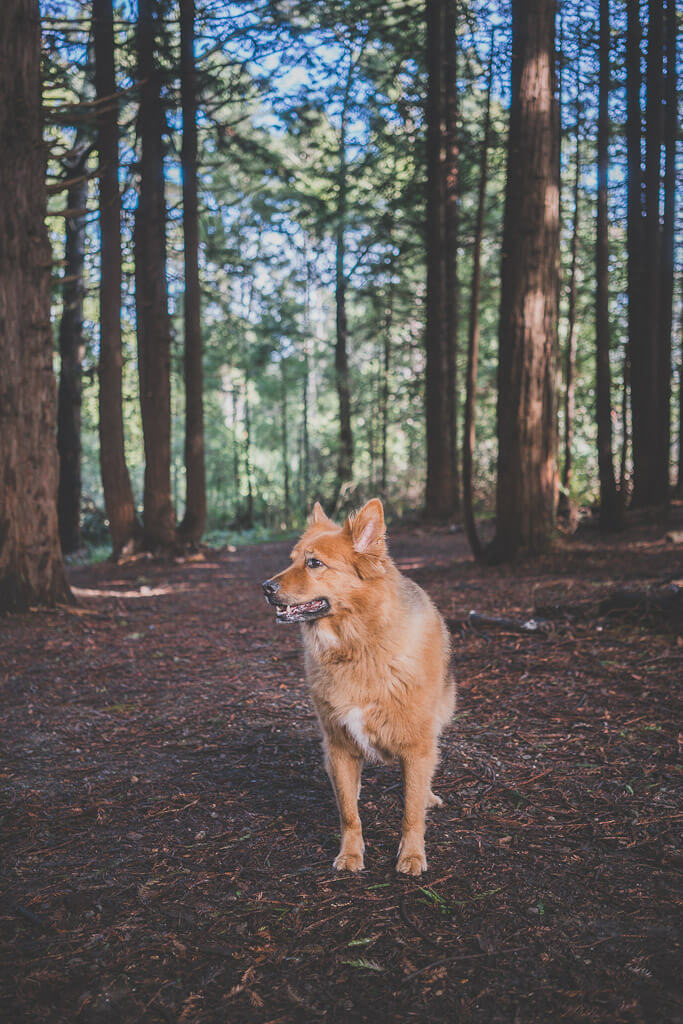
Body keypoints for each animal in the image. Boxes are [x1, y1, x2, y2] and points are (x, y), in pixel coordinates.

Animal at [264, 499, 456, 876]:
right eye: (291, 559)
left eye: (314, 563)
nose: (265, 587)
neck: (358, 648)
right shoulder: (338, 745)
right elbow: (349, 815)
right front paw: (351, 854)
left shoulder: (416, 747)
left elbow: (411, 812)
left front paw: (412, 855)